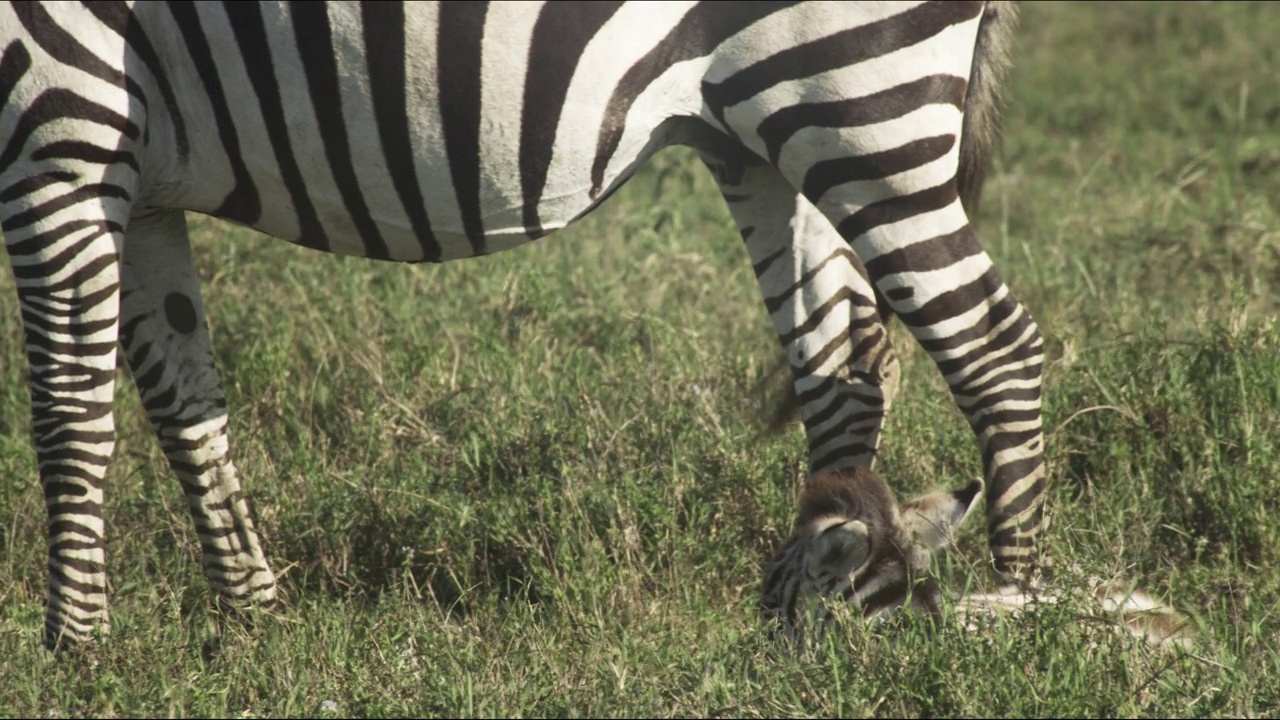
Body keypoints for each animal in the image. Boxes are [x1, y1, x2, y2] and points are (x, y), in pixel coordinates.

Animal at [0, 1, 1039, 650]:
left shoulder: (57, 122)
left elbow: (67, 415)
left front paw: (74, 653)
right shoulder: (140, 185)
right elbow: (188, 407)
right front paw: (255, 621)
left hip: (852, 93)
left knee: (994, 345)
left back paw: (1025, 605)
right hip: (765, 135)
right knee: (842, 362)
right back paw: (812, 599)